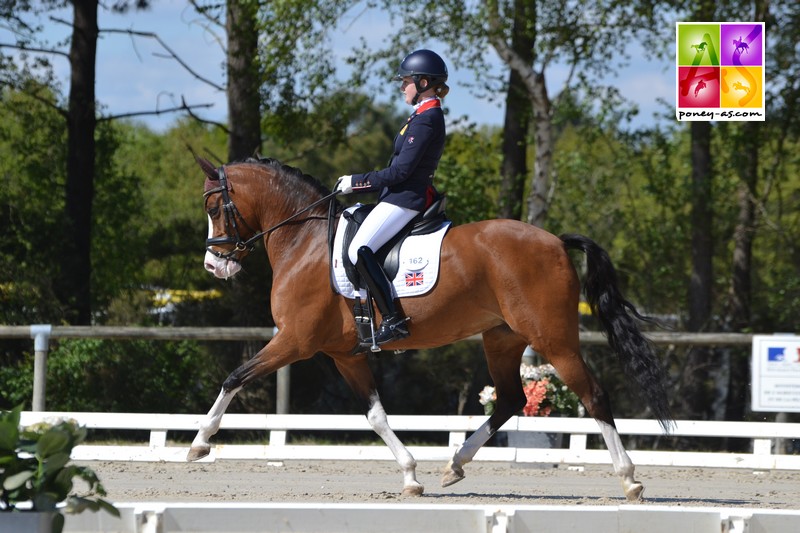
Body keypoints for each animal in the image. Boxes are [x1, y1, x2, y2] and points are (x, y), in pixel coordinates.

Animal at [191, 156, 672, 500]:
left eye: (214, 207)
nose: (214, 266)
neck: (303, 241)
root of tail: (555, 240)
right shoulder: (344, 354)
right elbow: (375, 414)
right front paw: (410, 476)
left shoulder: (294, 341)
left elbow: (234, 377)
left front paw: (199, 444)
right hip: (502, 338)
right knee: (511, 399)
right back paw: (454, 465)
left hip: (553, 338)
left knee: (593, 394)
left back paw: (630, 480)